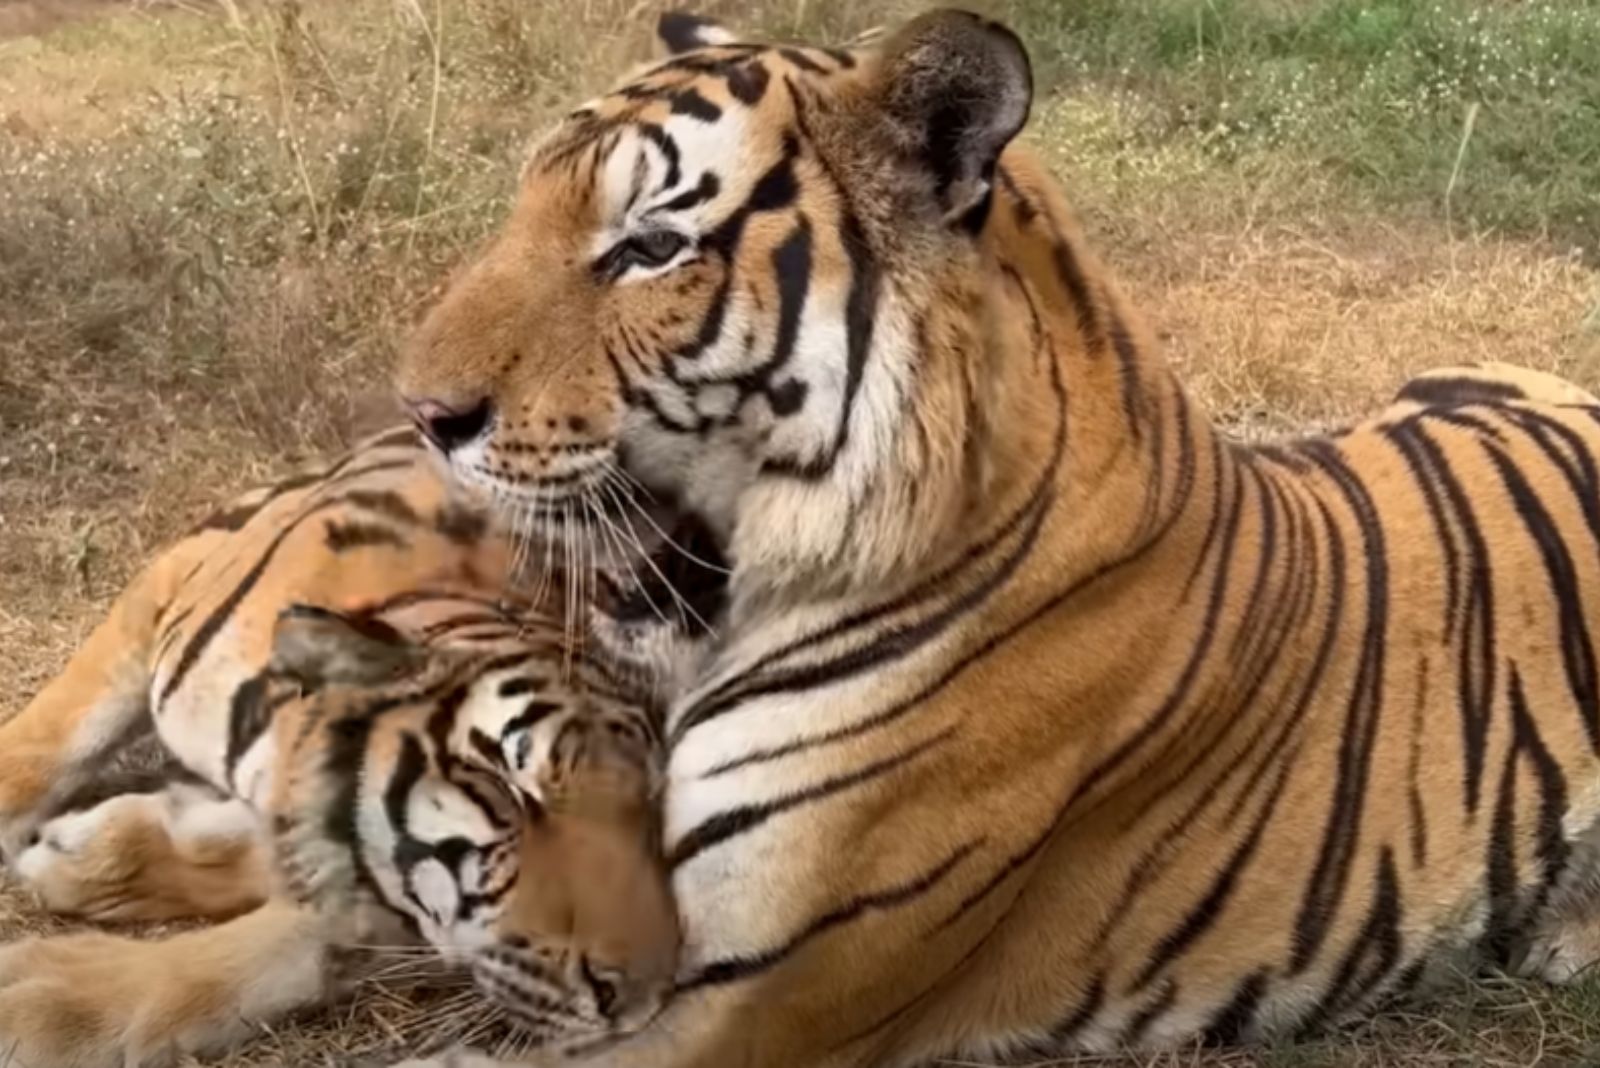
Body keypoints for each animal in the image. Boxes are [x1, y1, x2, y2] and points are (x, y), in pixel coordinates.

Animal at [0, 425, 716, 1068]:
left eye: (655, 815)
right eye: (506, 791)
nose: (641, 997)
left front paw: (51, 1003)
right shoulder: (163, 585)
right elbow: (47, 740)